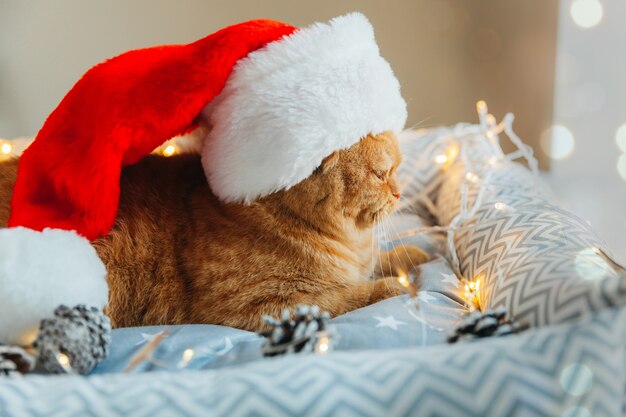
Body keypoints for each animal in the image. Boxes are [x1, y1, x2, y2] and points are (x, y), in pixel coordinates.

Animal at [0, 131, 426, 332]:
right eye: (381, 173)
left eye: (397, 168)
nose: (400, 192)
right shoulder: (260, 306)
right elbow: (347, 296)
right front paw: (394, 286)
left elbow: (385, 260)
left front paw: (413, 256)